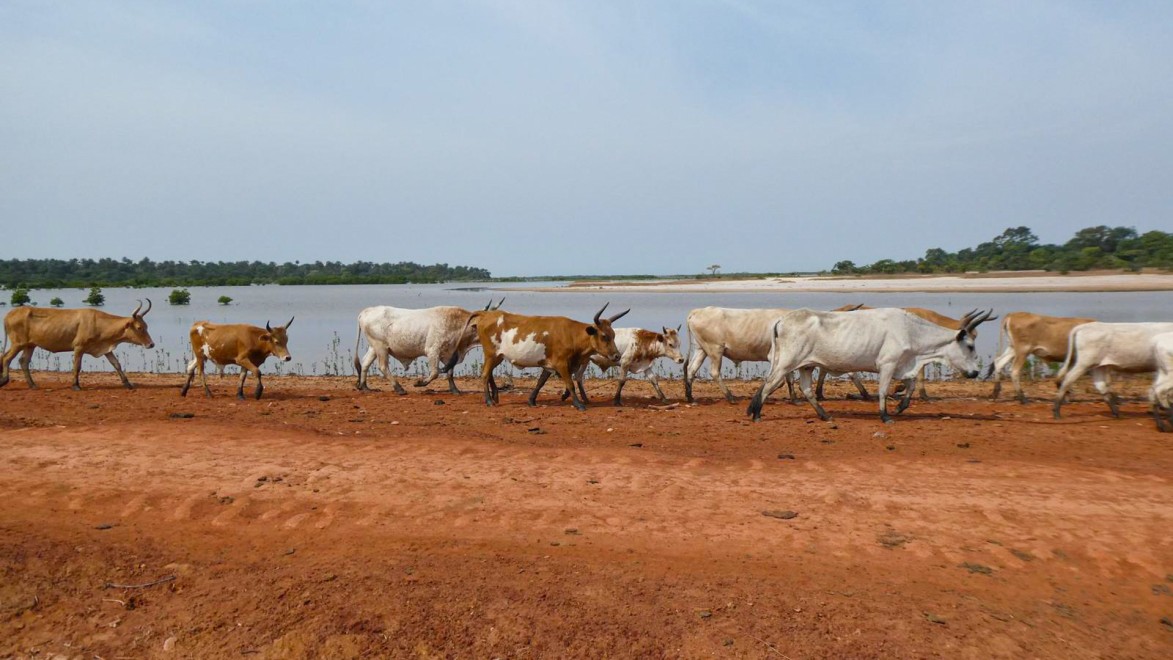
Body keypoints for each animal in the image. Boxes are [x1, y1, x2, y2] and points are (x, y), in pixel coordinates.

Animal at [0, 299, 155, 390]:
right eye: (140, 327)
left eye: (147, 326)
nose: (151, 344)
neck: (99, 323)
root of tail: (9, 314)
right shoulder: (79, 347)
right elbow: (77, 366)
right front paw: (75, 385)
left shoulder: (106, 349)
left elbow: (117, 364)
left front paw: (128, 384)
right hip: (18, 343)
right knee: (6, 358)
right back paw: (5, 380)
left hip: (30, 345)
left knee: (23, 361)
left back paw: (32, 385)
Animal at [353, 299, 503, 395]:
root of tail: (366, 311)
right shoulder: (432, 351)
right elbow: (435, 372)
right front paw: (420, 383)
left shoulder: (449, 354)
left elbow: (450, 372)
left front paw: (455, 390)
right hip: (380, 347)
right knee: (383, 366)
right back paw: (399, 388)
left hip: (374, 347)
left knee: (365, 363)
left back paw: (365, 386)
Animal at [464, 303, 628, 410]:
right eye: (604, 336)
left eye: (614, 335)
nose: (616, 355)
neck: (571, 335)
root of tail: (487, 314)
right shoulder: (561, 363)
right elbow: (570, 383)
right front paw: (578, 404)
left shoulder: (549, 364)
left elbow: (540, 382)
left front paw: (532, 400)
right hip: (491, 354)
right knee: (485, 374)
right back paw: (489, 401)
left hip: (497, 357)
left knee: (489, 373)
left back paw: (494, 397)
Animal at [746, 308, 996, 423]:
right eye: (970, 345)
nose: (975, 372)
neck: (911, 331)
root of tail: (782, 320)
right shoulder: (888, 364)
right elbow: (884, 390)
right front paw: (885, 416)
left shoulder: (903, 365)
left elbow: (911, 385)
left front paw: (901, 406)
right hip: (786, 363)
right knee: (769, 384)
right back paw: (757, 414)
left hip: (806, 365)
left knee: (806, 390)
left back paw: (825, 416)